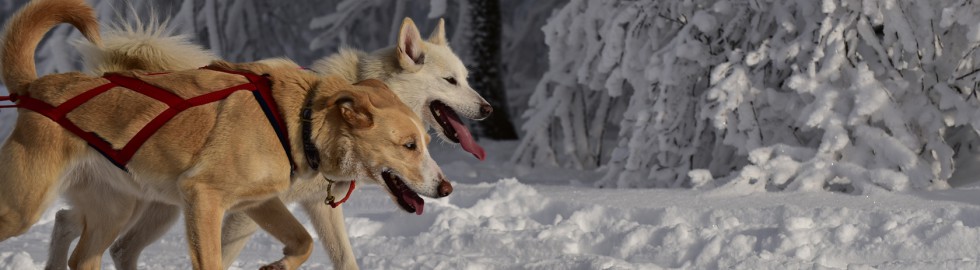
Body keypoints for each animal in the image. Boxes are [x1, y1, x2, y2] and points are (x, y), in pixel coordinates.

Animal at [0, 0, 452, 268]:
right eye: (409, 145)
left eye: (427, 143)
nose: (446, 187)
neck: (298, 122)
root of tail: (38, 87)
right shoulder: (204, 199)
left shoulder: (261, 202)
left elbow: (303, 241)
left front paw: (277, 265)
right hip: (25, 208)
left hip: (115, 209)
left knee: (81, 250)